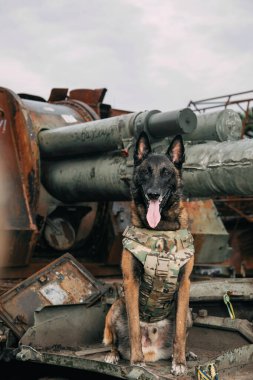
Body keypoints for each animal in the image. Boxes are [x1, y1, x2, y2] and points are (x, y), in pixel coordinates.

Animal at [103, 132, 194, 376]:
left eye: (166, 173)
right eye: (145, 172)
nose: (153, 194)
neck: (160, 230)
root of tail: (153, 350)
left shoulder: (184, 284)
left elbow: (179, 331)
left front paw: (180, 362)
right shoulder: (131, 281)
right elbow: (134, 326)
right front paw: (137, 361)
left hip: (190, 313)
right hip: (115, 308)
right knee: (114, 341)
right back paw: (114, 355)